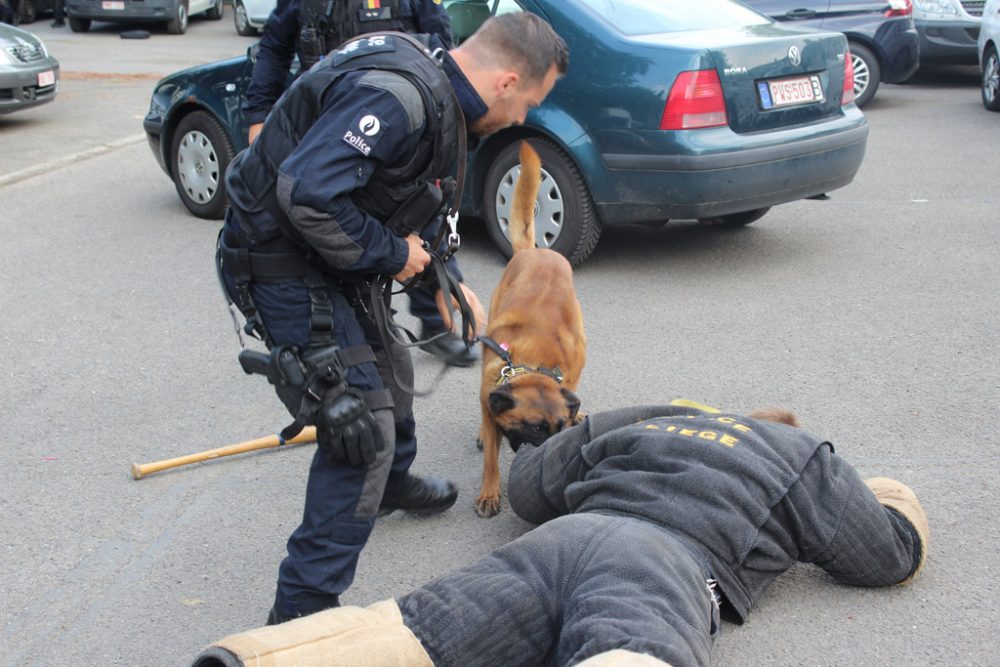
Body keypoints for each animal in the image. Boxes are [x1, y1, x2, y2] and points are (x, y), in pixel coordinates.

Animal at [476, 141, 584, 520]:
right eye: (536, 428)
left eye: (558, 428)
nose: (551, 460)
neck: (530, 361)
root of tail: (537, 252)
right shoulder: (489, 399)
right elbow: (491, 458)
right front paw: (489, 493)